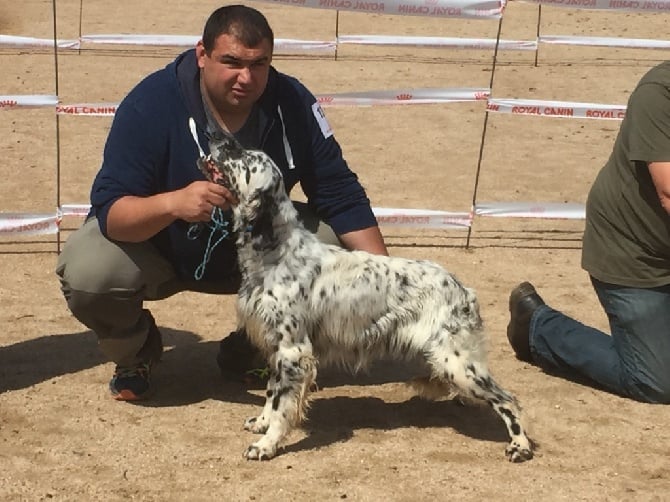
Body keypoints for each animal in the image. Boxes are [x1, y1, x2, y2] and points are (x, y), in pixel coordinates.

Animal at [200, 131, 536, 464]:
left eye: (242, 157)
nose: (214, 133)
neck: (276, 252)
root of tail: (463, 290)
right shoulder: (275, 346)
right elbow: (272, 393)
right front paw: (262, 422)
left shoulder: (294, 350)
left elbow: (283, 405)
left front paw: (267, 443)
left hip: (456, 362)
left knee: (508, 400)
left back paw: (520, 445)